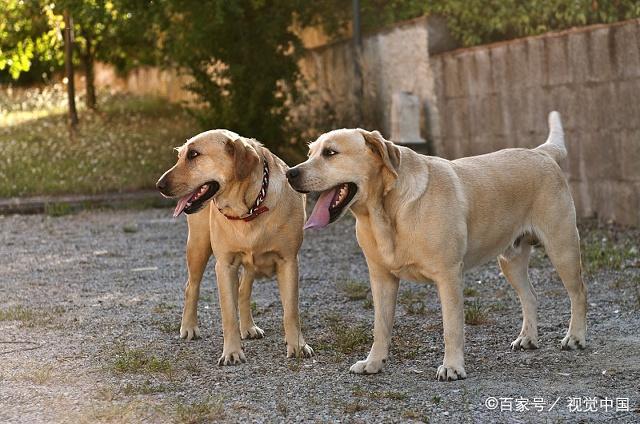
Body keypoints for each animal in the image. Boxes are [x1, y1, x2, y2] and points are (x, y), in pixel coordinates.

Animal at [158, 129, 312, 364]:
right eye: (180, 156)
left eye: (193, 154)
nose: (159, 185)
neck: (249, 209)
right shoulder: (225, 266)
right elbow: (228, 314)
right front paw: (232, 352)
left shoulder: (288, 262)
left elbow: (291, 311)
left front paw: (297, 345)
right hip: (198, 246)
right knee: (191, 287)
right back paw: (189, 327)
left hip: (249, 263)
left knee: (243, 290)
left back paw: (248, 327)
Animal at [288, 111, 588, 380]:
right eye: (310, 152)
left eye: (330, 153)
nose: (291, 173)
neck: (387, 211)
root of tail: (541, 153)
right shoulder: (381, 278)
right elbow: (380, 327)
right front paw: (374, 363)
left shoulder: (449, 276)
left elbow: (452, 328)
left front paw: (453, 367)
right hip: (510, 261)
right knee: (530, 296)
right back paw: (528, 338)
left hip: (562, 248)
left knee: (578, 293)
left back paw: (575, 337)